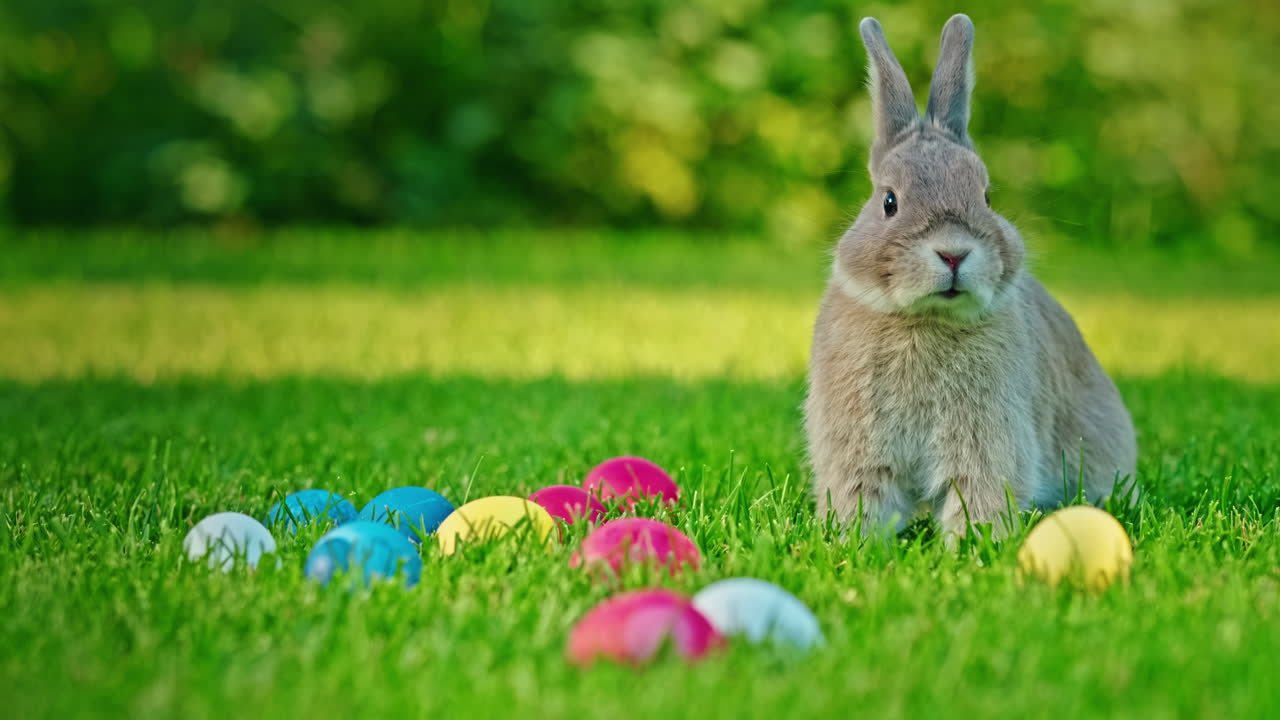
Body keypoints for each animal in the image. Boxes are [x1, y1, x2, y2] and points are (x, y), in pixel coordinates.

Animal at [804, 14, 1137, 541]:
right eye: (889, 201)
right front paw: (855, 542)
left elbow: (976, 494)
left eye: (986, 197)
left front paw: (972, 546)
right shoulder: (859, 447)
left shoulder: (987, 441)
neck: (924, 319)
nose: (954, 252)